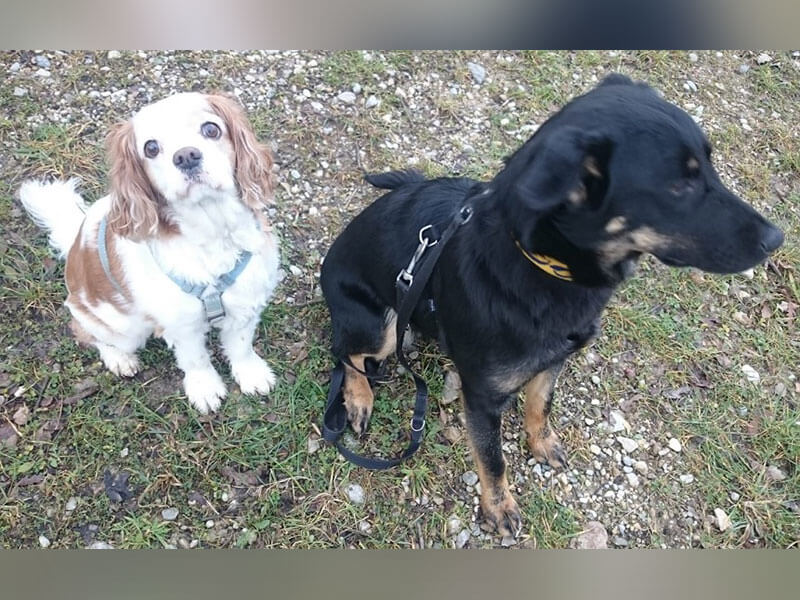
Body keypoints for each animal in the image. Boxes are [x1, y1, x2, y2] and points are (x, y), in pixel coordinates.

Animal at [19, 92, 280, 414]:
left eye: (211, 129)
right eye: (151, 148)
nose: (186, 156)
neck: (212, 229)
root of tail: (75, 241)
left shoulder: (245, 300)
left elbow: (241, 345)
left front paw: (251, 374)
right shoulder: (181, 324)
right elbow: (195, 359)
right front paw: (205, 389)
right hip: (122, 326)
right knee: (87, 333)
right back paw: (120, 359)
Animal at [320, 74, 784, 537]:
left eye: (709, 164)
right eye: (679, 186)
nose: (777, 238)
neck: (537, 262)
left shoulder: (554, 359)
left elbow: (541, 404)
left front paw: (541, 443)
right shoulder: (482, 398)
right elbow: (492, 459)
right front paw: (498, 507)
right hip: (381, 326)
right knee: (346, 352)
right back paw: (358, 398)